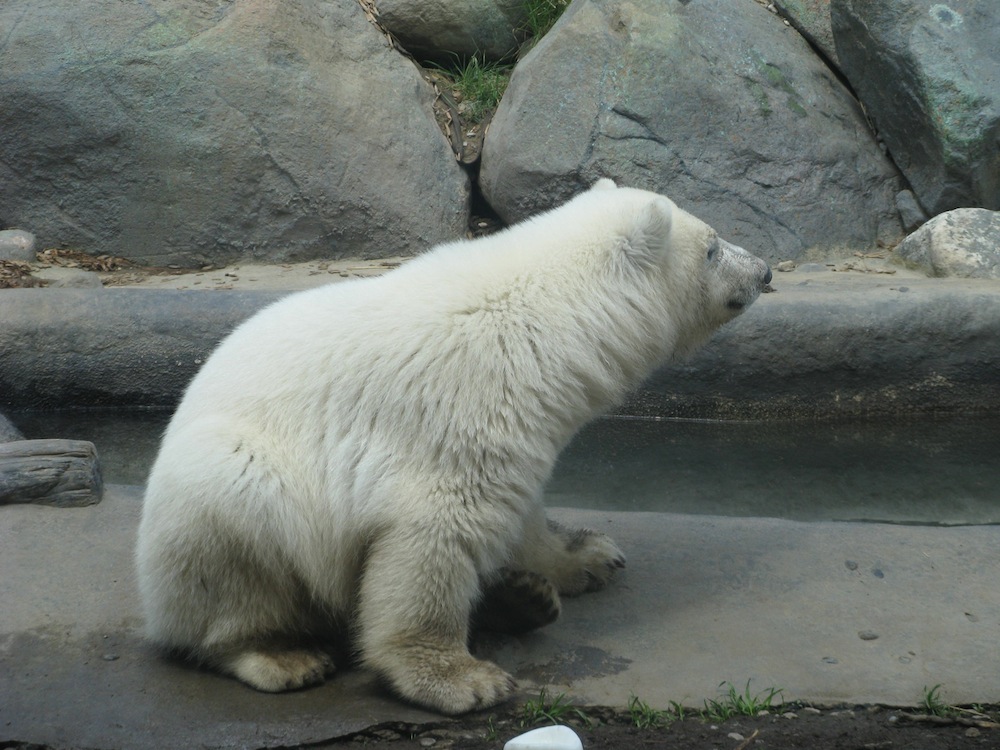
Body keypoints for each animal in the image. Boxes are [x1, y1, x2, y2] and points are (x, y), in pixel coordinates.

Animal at [135, 181, 772, 716]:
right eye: (712, 247)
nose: (765, 271)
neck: (549, 320)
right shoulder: (460, 411)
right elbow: (434, 534)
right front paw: (462, 680)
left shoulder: (523, 425)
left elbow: (521, 508)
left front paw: (587, 557)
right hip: (223, 491)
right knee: (233, 545)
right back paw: (281, 656)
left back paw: (522, 599)